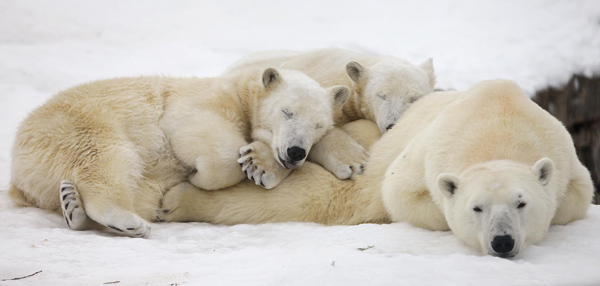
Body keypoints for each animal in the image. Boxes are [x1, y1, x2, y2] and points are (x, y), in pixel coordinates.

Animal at [9, 68, 350, 237]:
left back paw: (73, 206)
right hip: (75, 124)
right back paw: (127, 220)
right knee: (106, 157)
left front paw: (260, 166)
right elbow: (192, 128)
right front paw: (199, 178)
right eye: (287, 111)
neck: (241, 91)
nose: (295, 151)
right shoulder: (206, 99)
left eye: (319, 124)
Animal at [161, 79, 596, 258]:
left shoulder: (565, 159)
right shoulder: (423, 153)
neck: (499, 122)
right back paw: (179, 200)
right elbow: (397, 193)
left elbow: (575, 197)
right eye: (477, 207)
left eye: (522, 203)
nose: (502, 241)